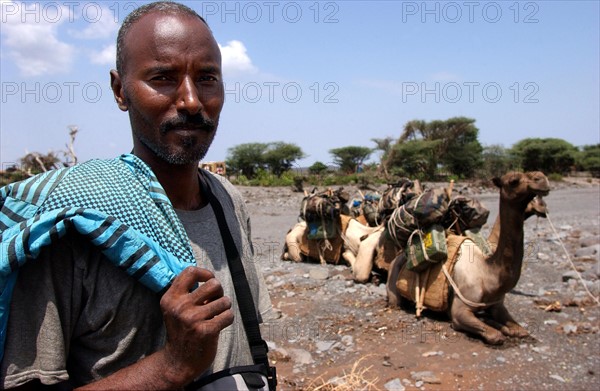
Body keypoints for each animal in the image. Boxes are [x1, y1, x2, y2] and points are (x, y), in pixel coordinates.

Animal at [386, 173, 552, 344]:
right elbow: (495, 335)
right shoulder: (459, 311)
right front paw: (497, 329)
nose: (541, 179)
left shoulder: (497, 305)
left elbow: (520, 330)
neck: (487, 274)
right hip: (394, 288)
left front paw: (507, 328)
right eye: (513, 181)